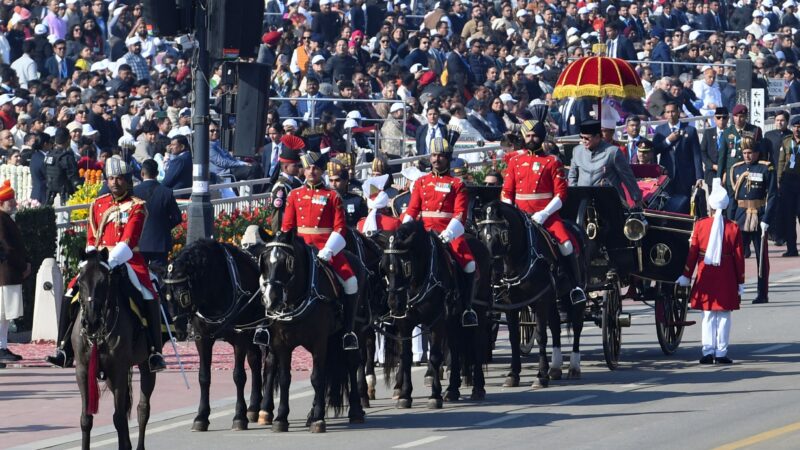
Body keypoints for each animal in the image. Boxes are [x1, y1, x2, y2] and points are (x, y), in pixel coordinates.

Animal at [73, 250, 158, 450]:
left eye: (105, 280)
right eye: (80, 281)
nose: (91, 322)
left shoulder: (118, 370)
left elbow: (118, 418)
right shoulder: (83, 371)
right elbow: (86, 419)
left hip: (145, 366)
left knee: (143, 408)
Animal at [163, 239, 266, 432]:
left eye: (183, 296)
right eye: (166, 296)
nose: (178, 331)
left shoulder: (240, 337)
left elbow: (239, 376)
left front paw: (239, 416)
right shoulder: (203, 339)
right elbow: (204, 377)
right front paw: (201, 416)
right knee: (255, 362)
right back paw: (254, 407)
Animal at [258, 232, 360, 432]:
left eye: (288, 262)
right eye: (264, 261)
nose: (271, 299)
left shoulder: (319, 340)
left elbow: (317, 377)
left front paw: (319, 418)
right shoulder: (281, 343)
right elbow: (285, 378)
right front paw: (281, 418)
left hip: (354, 330)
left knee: (352, 362)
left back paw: (355, 410)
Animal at [378, 220, 490, 406]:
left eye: (406, 267)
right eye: (384, 268)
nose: (394, 304)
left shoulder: (438, 321)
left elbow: (436, 356)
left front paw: (435, 395)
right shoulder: (405, 323)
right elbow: (406, 357)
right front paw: (405, 395)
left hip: (478, 312)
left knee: (477, 345)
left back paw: (478, 388)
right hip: (452, 320)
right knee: (455, 348)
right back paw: (452, 390)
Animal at [476, 200, 588, 386]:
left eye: (503, 235)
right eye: (481, 236)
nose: (491, 275)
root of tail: (575, 226)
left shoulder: (541, 299)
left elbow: (541, 335)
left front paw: (541, 375)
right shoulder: (511, 304)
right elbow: (514, 338)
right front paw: (513, 374)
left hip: (576, 293)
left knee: (577, 324)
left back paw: (574, 367)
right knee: (555, 325)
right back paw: (555, 367)